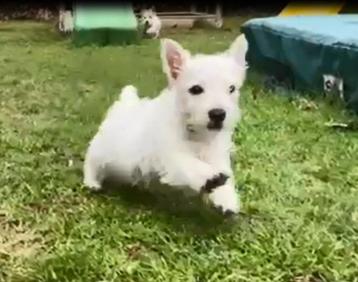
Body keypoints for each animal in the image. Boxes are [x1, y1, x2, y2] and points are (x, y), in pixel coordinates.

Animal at [83, 34, 248, 215]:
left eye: (231, 88)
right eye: (196, 89)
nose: (218, 114)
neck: (196, 132)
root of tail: (126, 102)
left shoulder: (216, 154)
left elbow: (224, 172)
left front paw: (227, 199)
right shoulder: (167, 154)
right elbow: (187, 163)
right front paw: (210, 177)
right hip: (103, 148)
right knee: (91, 159)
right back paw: (91, 182)